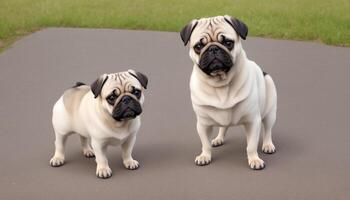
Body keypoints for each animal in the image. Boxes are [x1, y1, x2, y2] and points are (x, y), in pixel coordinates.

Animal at [180, 15, 276, 170]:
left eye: (228, 43)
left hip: (270, 113)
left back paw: (268, 145)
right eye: (198, 47)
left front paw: (254, 159)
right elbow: (205, 144)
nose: (213, 48)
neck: (220, 82)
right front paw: (205, 156)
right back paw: (218, 139)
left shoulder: (252, 121)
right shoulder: (203, 124)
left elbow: (251, 145)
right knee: (223, 128)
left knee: (267, 130)